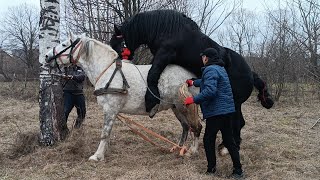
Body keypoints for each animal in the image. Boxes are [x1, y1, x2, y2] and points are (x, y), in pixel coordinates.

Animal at [44, 33, 201, 161]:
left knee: (196, 127)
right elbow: (108, 133)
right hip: (176, 108)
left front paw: (97, 155)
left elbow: (105, 132)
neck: (107, 71)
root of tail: (192, 76)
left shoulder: (110, 109)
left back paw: (192, 151)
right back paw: (178, 148)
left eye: (64, 44)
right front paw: (104, 151)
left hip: (184, 106)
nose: (46, 56)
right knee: (185, 127)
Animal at [110, 8, 272, 149]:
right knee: (239, 123)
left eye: (116, 43)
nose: (116, 63)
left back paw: (226, 148)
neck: (166, 29)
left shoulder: (164, 54)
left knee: (238, 124)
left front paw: (151, 101)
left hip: (236, 103)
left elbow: (152, 74)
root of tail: (251, 74)